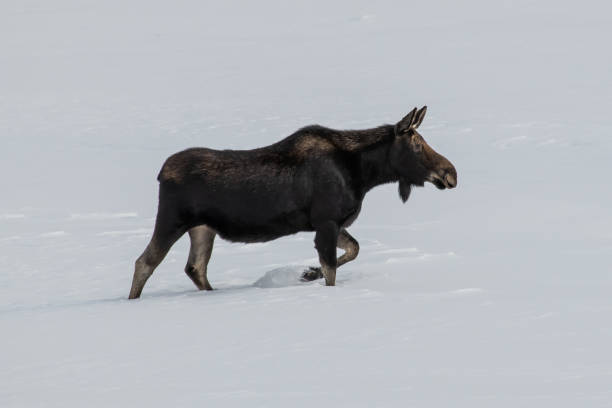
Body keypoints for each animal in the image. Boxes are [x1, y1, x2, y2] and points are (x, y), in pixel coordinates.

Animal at [128, 106, 454, 300]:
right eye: (417, 144)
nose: (451, 172)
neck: (364, 174)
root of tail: (161, 172)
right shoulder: (326, 221)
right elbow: (332, 267)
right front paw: (315, 275)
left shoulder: (329, 223)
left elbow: (353, 250)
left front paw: (308, 273)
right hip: (172, 219)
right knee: (145, 262)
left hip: (202, 228)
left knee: (195, 267)